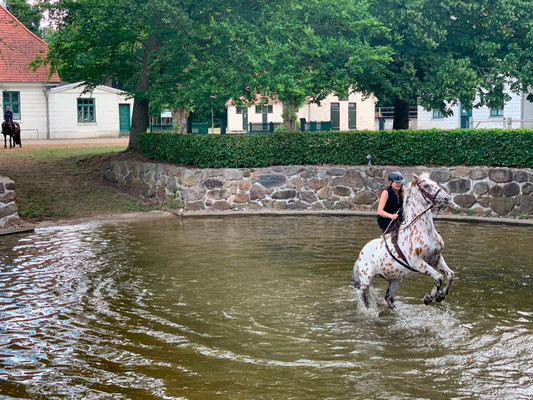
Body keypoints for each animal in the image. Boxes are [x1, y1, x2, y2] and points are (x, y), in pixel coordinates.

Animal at [352, 173, 456, 310]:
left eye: (434, 182)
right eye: (426, 186)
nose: (447, 198)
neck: (423, 231)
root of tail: (361, 253)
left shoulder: (436, 258)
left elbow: (450, 275)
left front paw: (440, 296)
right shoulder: (417, 263)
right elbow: (438, 277)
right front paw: (429, 298)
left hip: (395, 279)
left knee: (389, 298)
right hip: (366, 278)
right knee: (362, 293)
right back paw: (365, 309)